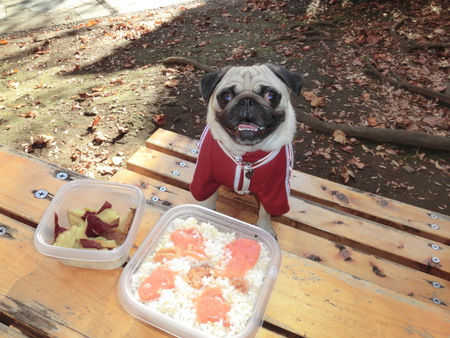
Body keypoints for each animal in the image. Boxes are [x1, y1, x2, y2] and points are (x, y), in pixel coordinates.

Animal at [190, 63, 302, 238]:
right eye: (226, 97)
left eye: (271, 96)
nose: (247, 101)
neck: (247, 155)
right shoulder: (206, 177)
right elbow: (207, 199)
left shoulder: (275, 189)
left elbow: (265, 211)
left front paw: (265, 229)